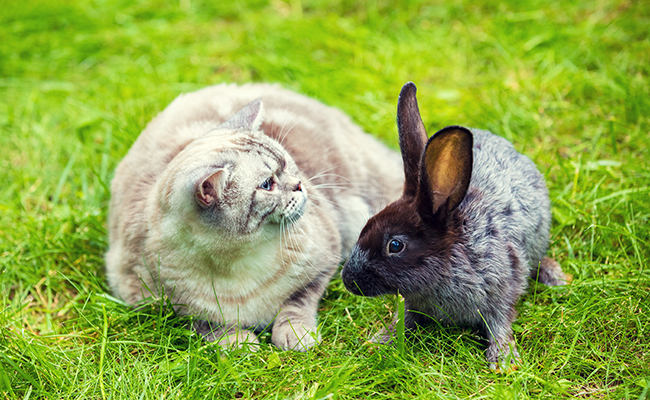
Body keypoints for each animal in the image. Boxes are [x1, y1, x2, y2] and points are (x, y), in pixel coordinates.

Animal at [104, 82, 402, 350]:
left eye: (287, 163)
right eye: (267, 184)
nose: (299, 184)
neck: (237, 263)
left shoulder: (327, 258)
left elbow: (297, 302)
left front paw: (294, 335)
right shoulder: (146, 301)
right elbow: (201, 322)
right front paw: (239, 343)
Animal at [340, 81, 568, 368]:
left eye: (395, 245)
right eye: (366, 225)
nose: (348, 280)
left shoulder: (501, 290)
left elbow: (501, 322)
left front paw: (503, 361)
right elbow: (403, 319)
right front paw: (380, 341)